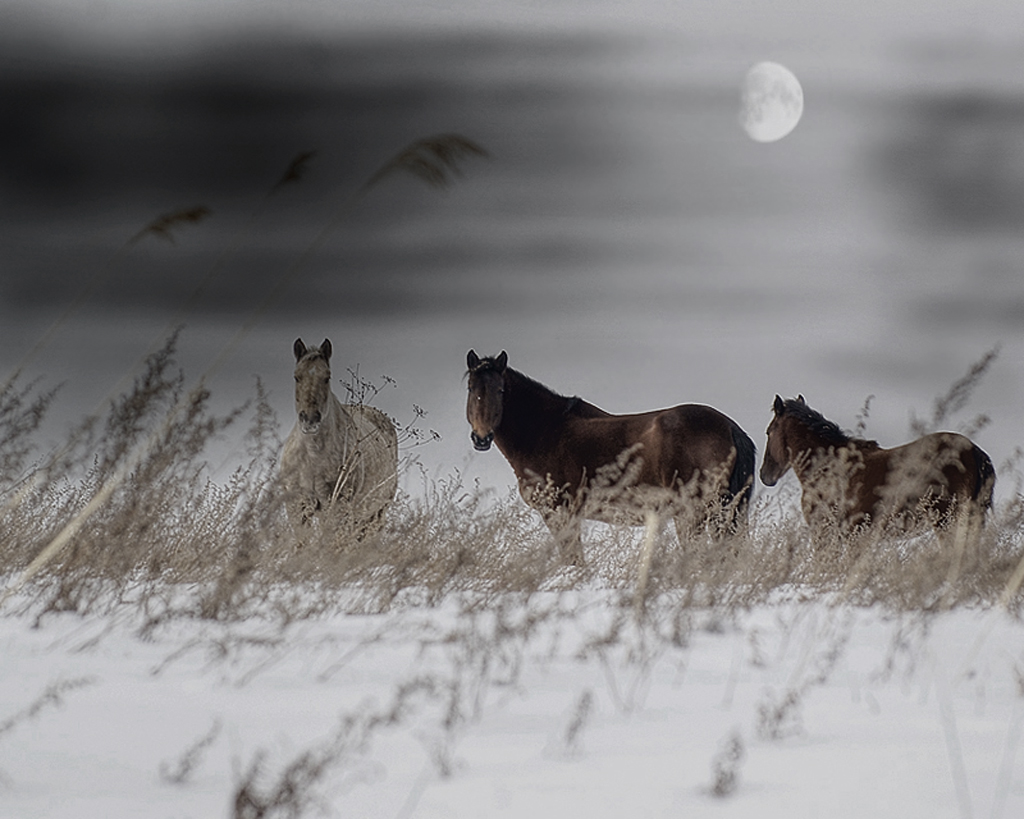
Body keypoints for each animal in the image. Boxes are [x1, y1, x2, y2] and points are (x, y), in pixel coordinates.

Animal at [282, 339, 397, 544]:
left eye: (327, 377)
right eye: (297, 377)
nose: (310, 420)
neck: (312, 457)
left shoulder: (335, 506)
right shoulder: (297, 508)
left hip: (376, 512)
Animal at [464, 346, 753, 565]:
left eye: (500, 390)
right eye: (470, 388)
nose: (481, 437)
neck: (546, 429)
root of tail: (729, 426)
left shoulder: (559, 512)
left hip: (694, 514)